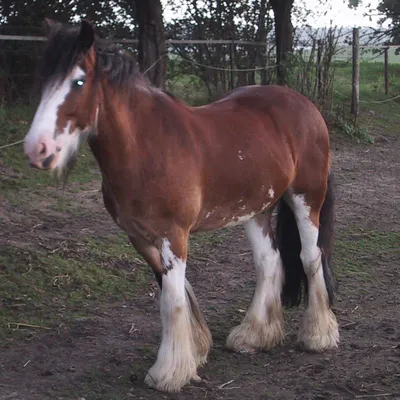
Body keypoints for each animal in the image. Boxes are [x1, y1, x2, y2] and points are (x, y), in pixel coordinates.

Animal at [23, 20, 340, 392]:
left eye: (78, 81)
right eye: (43, 79)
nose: (37, 149)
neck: (147, 148)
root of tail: (305, 106)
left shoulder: (174, 235)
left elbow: (172, 300)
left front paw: (169, 372)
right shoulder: (140, 237)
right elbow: (171, 293)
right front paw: (196, 349)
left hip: (307, 197)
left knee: (310, 257)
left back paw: (318, 335)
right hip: (255, 207)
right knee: (269, 262)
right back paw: (254, 336)